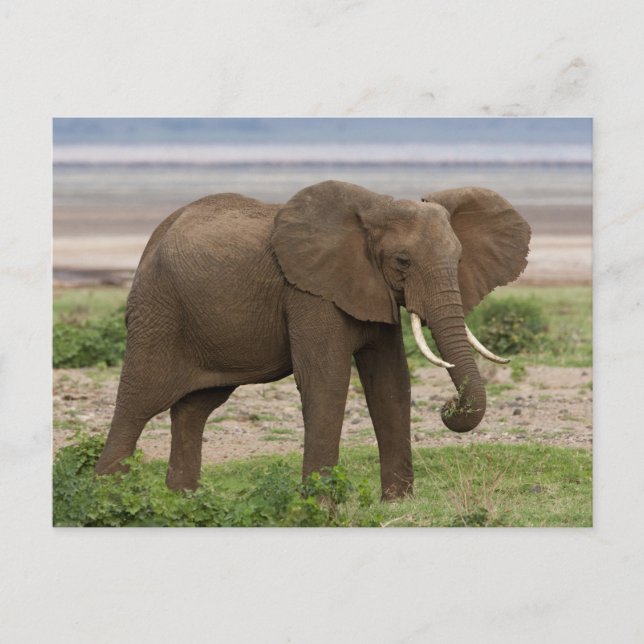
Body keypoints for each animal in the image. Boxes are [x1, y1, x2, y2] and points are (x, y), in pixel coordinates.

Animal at [95, 180, 530, 500]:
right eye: (402, 261)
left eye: (458, 260)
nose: (449, 406)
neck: (376, 209)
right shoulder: (308, 293)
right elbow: (326, 381)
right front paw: (320, 507)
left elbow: (390, 383)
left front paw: (398, 504)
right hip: (158, 311)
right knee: (138, 402)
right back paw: (110, 500)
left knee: (194, 409)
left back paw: (183, 501)